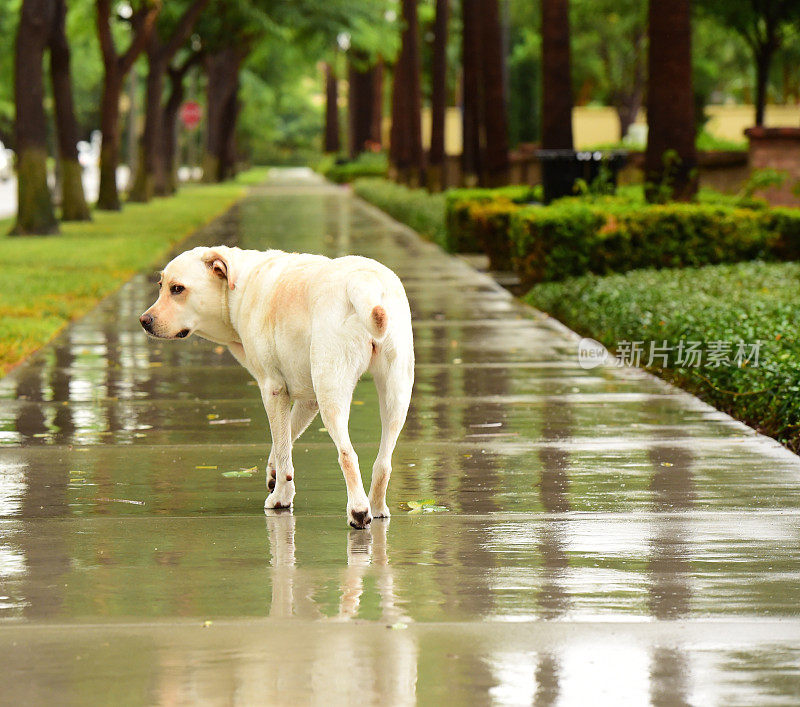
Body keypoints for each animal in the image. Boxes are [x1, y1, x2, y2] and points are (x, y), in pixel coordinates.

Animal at [140, 246, 412, 528]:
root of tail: (364, 279)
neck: (237, 288)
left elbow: (283, 452)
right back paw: (377, 507)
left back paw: (359, 510)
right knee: (384, 462)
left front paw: (281, 496)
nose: (144, 320)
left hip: (333, 393)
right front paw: (272, 473)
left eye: (177, 289)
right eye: (161, 286)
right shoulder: (308, 399)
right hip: (396, 395)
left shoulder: (273, 390)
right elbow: (287, 437)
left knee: (348, 454)